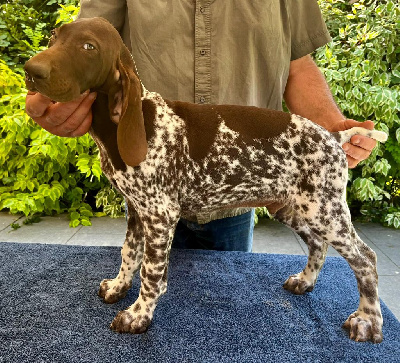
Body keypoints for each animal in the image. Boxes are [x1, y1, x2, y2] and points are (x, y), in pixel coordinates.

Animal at [24, 18, 388, 342]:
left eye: (89, 47)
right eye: (55, 36)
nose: (31, 70)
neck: (124, 124)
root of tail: (334, 137)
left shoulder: (160, 215)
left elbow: (151, 273)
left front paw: (139, 315)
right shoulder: (137, 210)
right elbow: (129, 253)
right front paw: (118, 287)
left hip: (323, 210)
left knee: (365, 259)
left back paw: (367, 321)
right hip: (293, 207)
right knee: (317, 244)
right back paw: (305, 282)